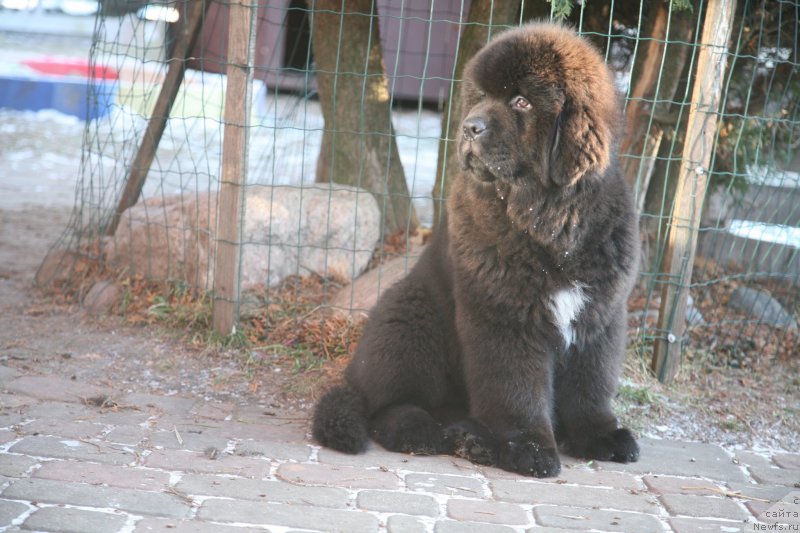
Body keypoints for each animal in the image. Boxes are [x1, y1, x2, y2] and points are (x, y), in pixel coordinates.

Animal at [310, 21, 636, 478]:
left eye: (521, 101)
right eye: (480, 96)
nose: (469, 127)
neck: (551, 220)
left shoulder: (600, 313)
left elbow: (591, 384)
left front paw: (600, 435)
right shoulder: (505, 317)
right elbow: (517, 389)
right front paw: (531, 448)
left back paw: (472, 439)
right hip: (408, 313)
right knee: (388, 404)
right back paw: (421, 431)